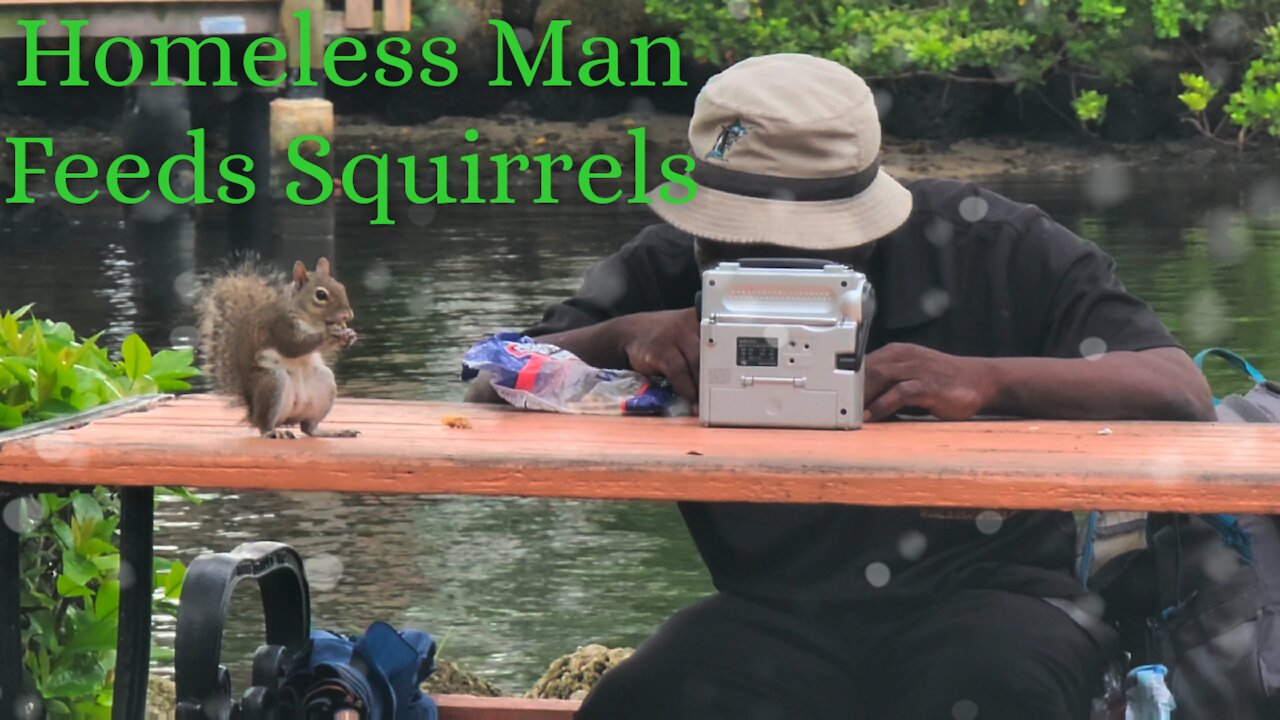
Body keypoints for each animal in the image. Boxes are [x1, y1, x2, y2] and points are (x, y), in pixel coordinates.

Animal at [197, 254, 363, 440]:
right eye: (321, 295)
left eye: (341, 286)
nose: (348, 315)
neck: (310, 320)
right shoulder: (280, 326)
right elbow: (295, 347)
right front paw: (332, 332)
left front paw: (349, 335)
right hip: (272, 383)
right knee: (264, 424)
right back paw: (274, 432)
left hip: (324, 384)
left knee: (309, 427)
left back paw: (334, 431)